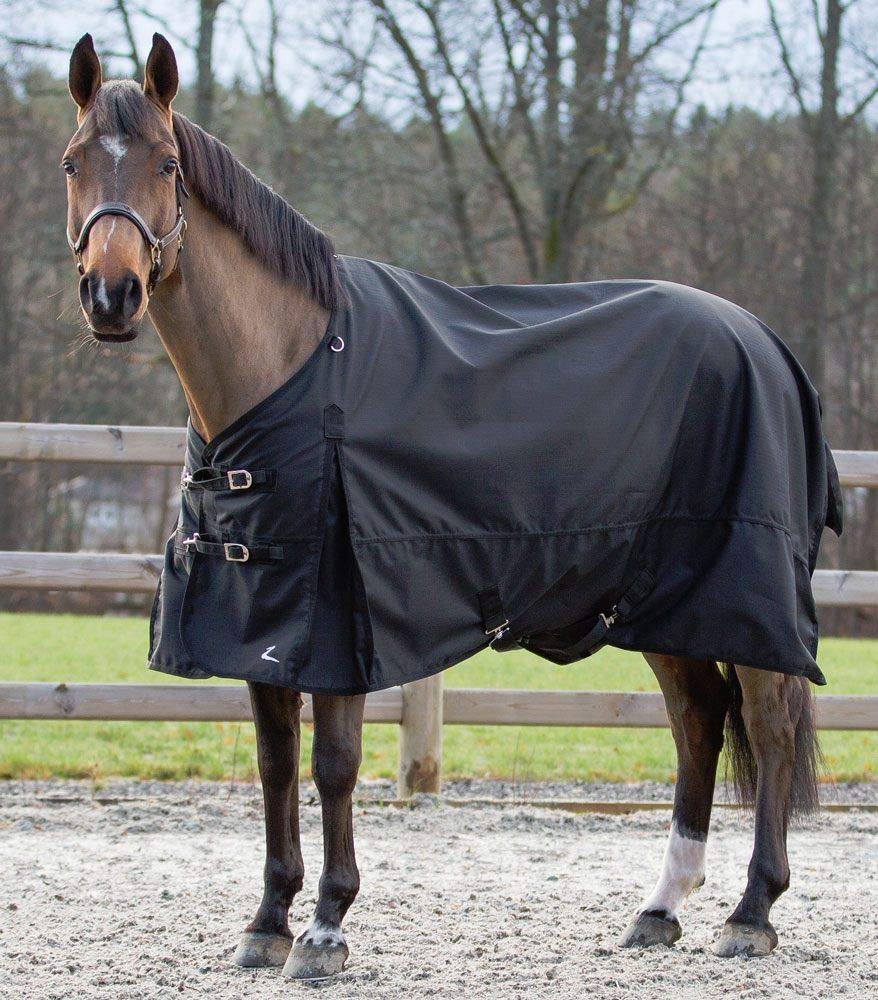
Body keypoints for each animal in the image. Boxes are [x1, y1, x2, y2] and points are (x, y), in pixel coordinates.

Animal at [60, 32, 840, 978]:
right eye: (72, 162)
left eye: (168, 165)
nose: (112, 296)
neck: (290, 368)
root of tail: (767, 343)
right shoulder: (260, 625)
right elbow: (275, 766)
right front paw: (267, 922)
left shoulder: (335, 624)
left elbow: (333, 765)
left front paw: (325, 927)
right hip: (662, 603)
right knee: (698, 721)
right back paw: (659, 909)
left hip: (744, 596)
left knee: (765, 724)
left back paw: (752, 911)